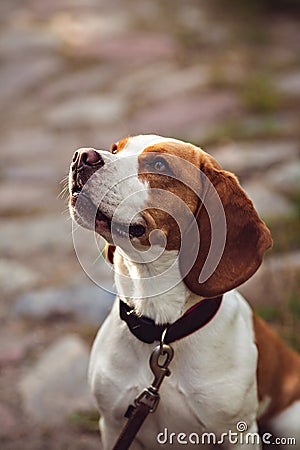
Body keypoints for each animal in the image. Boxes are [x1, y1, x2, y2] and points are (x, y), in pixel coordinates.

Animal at [68, 135, 300, 448]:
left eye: (159, 165)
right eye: (116, 148)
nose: (82, 156)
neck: (162, 329)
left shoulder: (239, 435)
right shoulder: (114, 426)